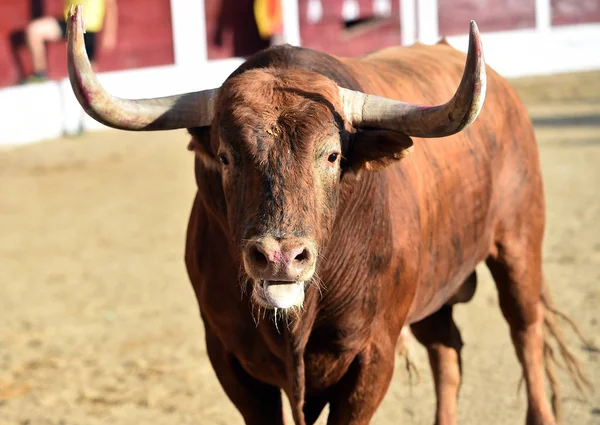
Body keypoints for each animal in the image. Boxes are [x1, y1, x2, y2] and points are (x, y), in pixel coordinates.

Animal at [67, 5, 592, 424]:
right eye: (225, 156)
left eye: (333, 155)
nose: (280, 258)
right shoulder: (229, 357)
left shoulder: (373, 356)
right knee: (448, 353)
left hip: (519, 246)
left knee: (525, 333)